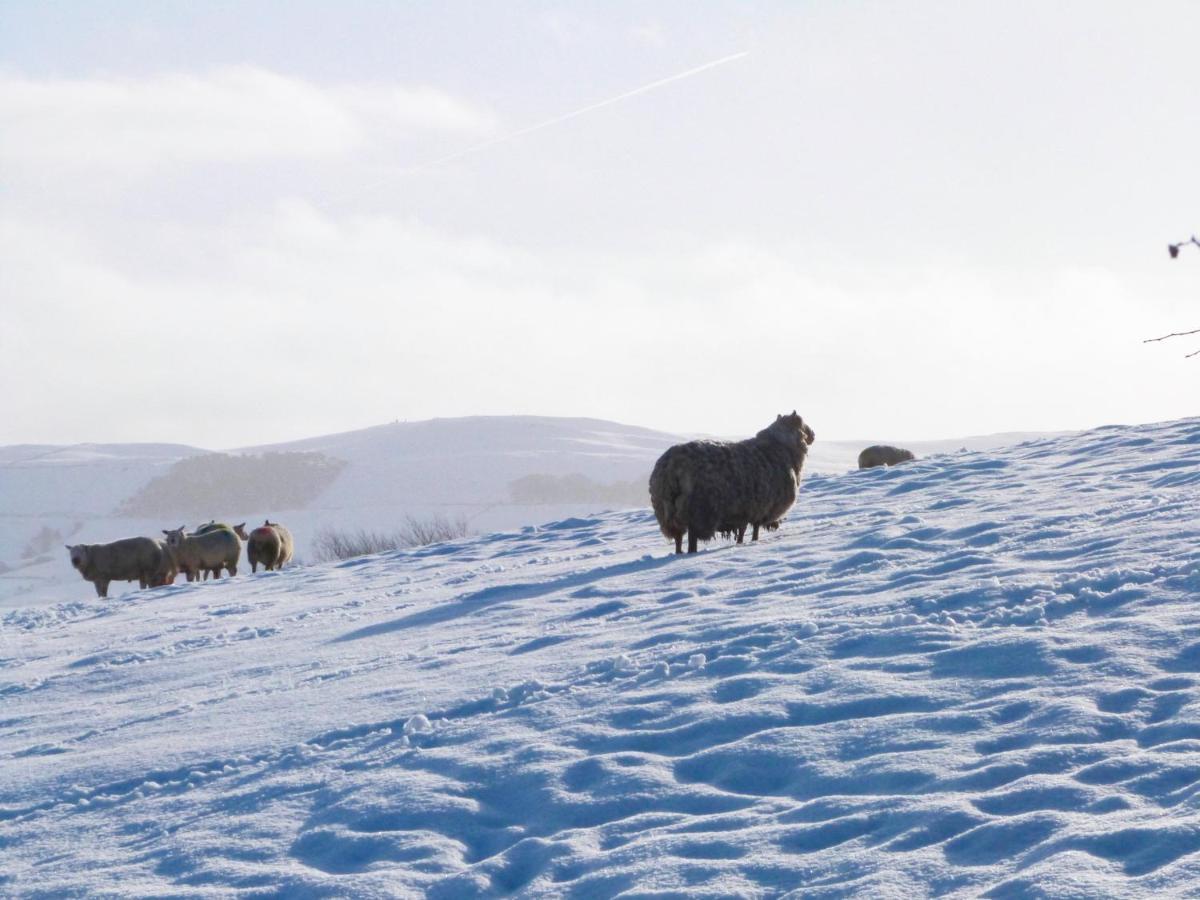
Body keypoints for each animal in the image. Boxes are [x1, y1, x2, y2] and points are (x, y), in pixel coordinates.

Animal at [648, 412, 816, 554]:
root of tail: (670, 467)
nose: (813, 435)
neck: (782, 446)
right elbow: (755, 530)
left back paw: (678, 553)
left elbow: (742, 532)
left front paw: (741, 543)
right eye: (802, 423)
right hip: (698, 512)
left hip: (667, 511)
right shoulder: (761, 507)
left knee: (678, 538)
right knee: (692, 540)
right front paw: (754, 541)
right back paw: (690, 553)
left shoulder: (746, 510)